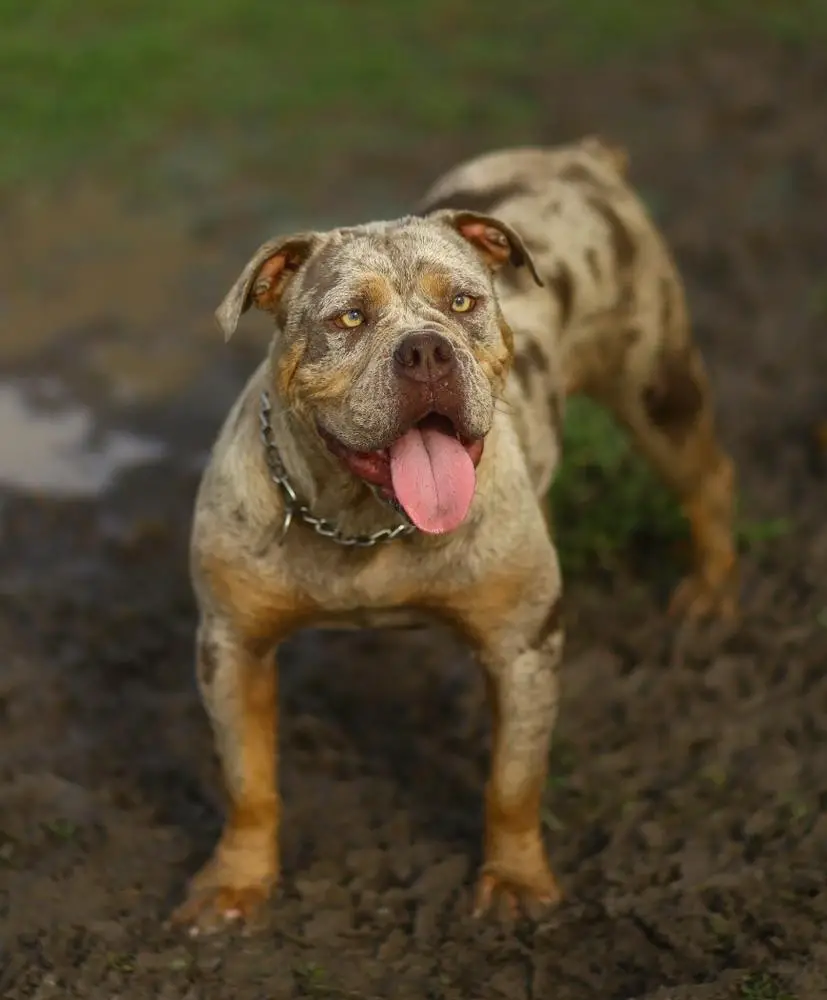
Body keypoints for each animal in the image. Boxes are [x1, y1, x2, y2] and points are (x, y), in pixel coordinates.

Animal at [173, 137, 736, 932]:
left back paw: (710, 594)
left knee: (707, 478)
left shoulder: (524, 648)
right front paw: (235, 885)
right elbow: (247, 782)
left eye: (462, 303)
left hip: (657, 390)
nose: (425, 351)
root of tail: (576, 156)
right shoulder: (231, 647)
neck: (363, 522)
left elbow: (513, 781)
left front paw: (515, 883)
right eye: (349, 319)